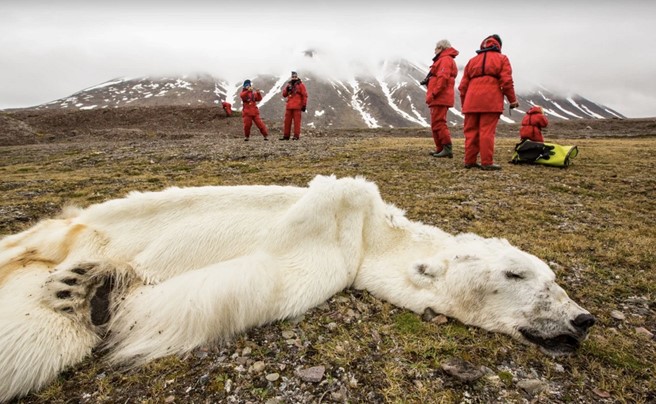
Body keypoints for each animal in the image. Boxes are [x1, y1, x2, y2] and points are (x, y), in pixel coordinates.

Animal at [0, 174, 596, 400]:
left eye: (553, 278)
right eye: (517, 273)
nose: (582, 319)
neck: (371, 234)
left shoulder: (332, 261)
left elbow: (236, 286)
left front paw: (100, 293)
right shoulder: (335, 228)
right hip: (82, 223)